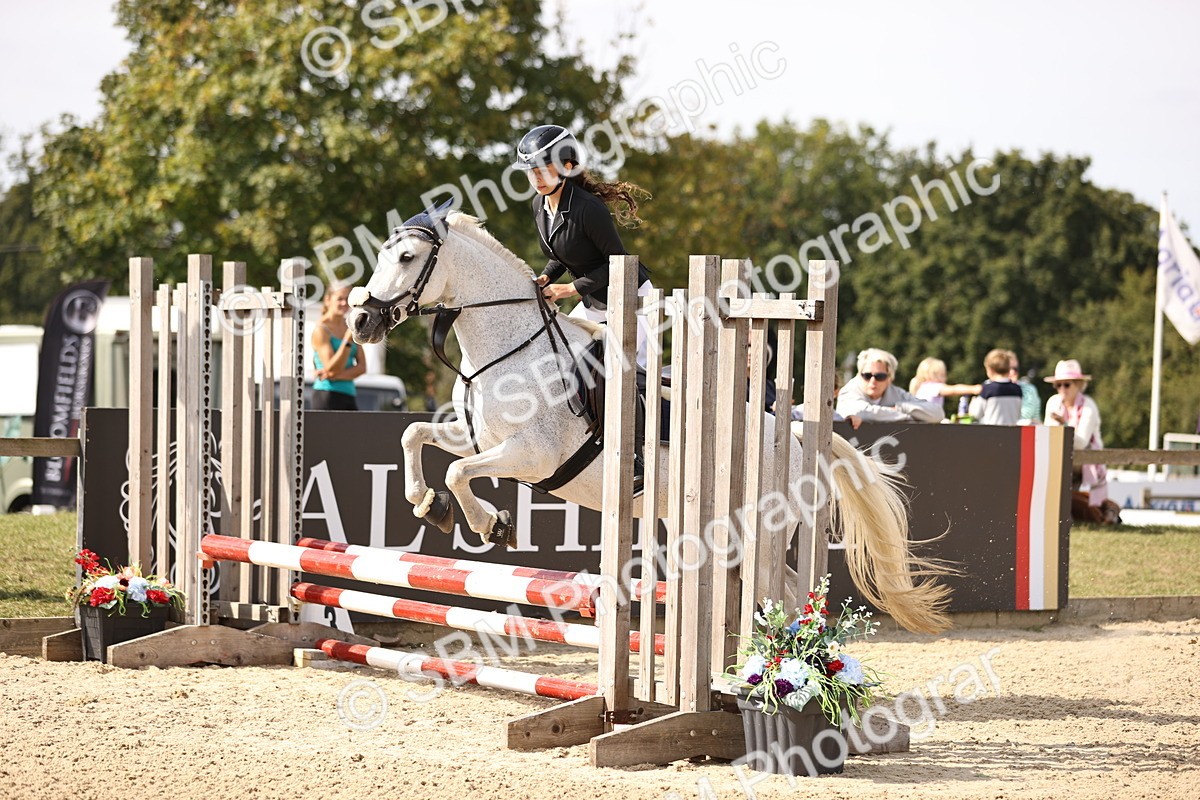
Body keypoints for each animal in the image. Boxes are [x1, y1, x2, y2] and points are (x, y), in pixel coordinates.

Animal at [347, 206, 949, 634]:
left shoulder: (531, 456)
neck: (507, 348)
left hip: (764, 527)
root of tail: (803, 435)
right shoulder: (476, 437)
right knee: (778, 588)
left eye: (406, 258)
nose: (361, 322)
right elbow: (416, 436)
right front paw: (429, 505)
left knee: (787, 589)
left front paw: (488, 523)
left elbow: (457, 473)